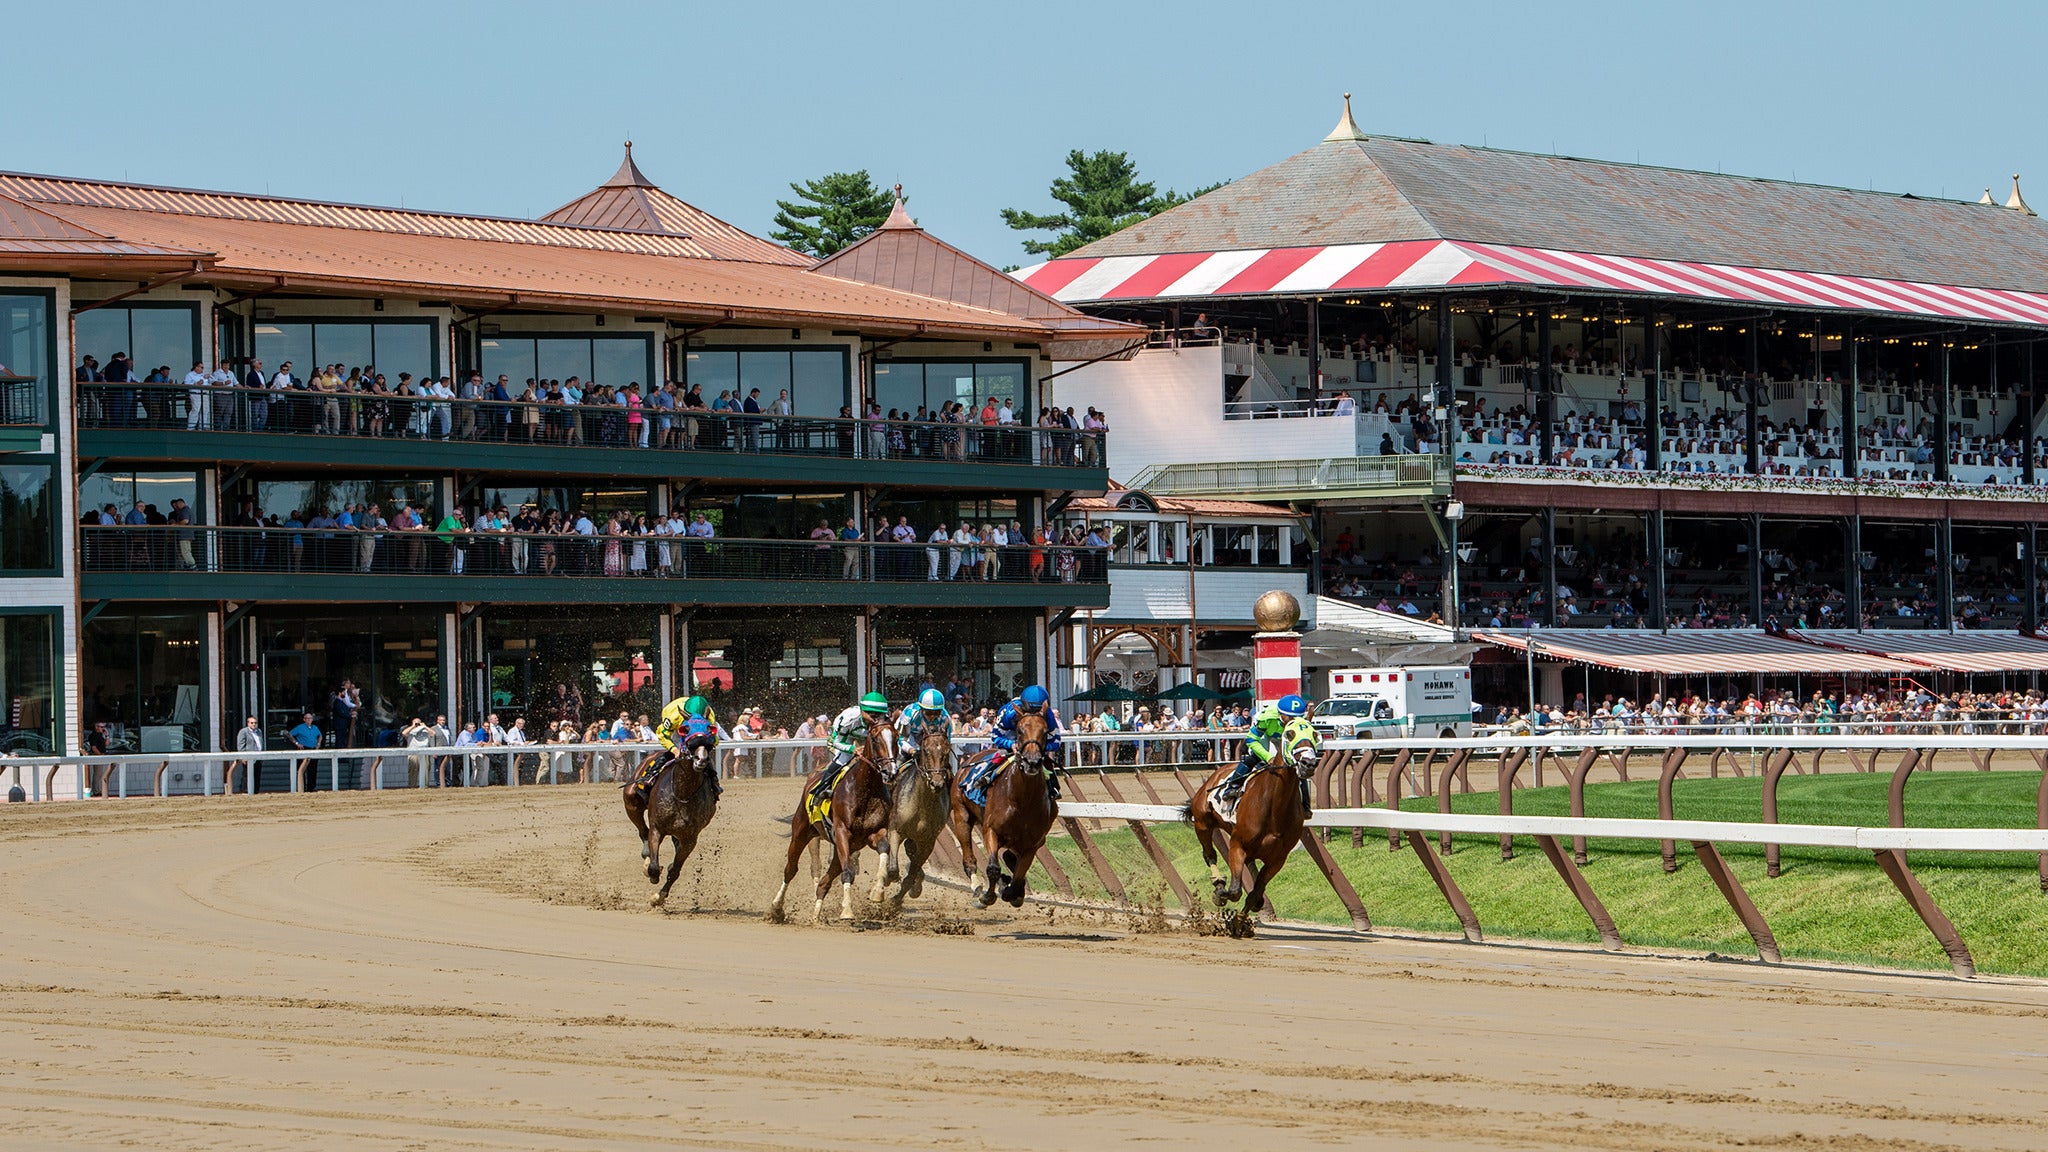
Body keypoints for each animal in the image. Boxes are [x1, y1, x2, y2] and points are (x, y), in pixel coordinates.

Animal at [622, 737, 720, 910]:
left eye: (708, 745)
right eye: (691, 745)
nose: (701, 760)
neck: (682, 794)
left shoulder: (690, 839)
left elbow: (675, 871)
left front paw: (658, 897)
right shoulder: (657, 829)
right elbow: (654, 867)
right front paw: (653, 873)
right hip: (631, 801)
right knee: (643, 831)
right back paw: (646, 857)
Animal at [770, 713, 897, 918]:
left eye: (896, 737)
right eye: (876, 739)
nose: (890, 772)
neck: (865, 790)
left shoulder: (873, 833)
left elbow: (884, 848)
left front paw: (877, 892)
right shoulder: (842, 831)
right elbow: (848, 873)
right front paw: (847, 910)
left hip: (842, 848)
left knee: (824, 883)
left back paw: (815, 917)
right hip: (801, 832)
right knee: (790, 869)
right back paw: (776, 907)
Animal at [872, 725, 950, 906]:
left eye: (947, 751)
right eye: (926, 751)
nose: (937, 783)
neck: (922, 804)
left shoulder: (928, 842)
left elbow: (912, 872)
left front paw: (898, 899)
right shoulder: (895, 830)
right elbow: (893, 868)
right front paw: (888, 880)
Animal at [950, 709, 1064, 906]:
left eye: (1044, 732)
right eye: (1019, 730)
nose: (1032, 762)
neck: (1022, 801)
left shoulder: (1033, 844)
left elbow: (1017, 879)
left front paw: (1011, 889)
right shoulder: (991, 830)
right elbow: (993, 868)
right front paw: (987, 896)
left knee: (1010, 858)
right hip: (961, 815)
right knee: (969, 858)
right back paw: (976, 886)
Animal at [1187, 737, 1310, 926]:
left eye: (1315, 737)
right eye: (1290, 736)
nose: (1308, 763)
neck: (1275, 809)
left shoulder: (1278, 859)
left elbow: (1254, 894)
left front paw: (1240, 922)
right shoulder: (1237, 844)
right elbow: (1235, 890)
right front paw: (1222, 893)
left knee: (1251, 865)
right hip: (1202, 823)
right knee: (1209, 854)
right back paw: (1219, 884)